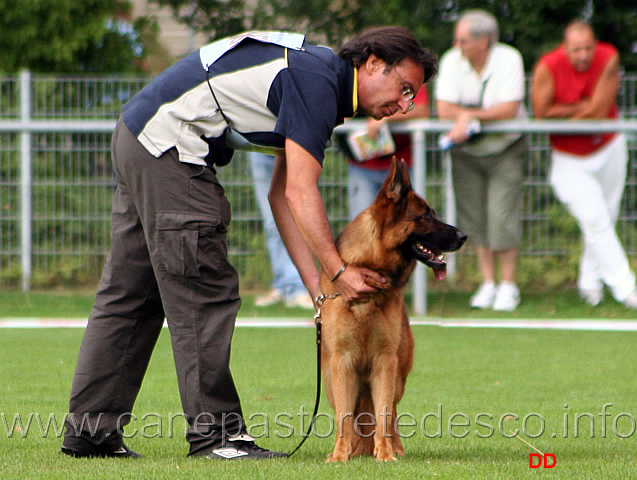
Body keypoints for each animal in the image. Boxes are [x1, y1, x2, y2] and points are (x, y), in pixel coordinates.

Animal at [320, 158, 464, 462]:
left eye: (433, 214)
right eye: (424, 216)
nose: (463, 236)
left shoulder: (385, 361)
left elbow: (385, 413)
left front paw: (385, 454)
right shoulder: (342, 362)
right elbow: (344, 416)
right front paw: (339, 456)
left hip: (397, 376)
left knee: (390, 412)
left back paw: (393, 448)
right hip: (329, 379)